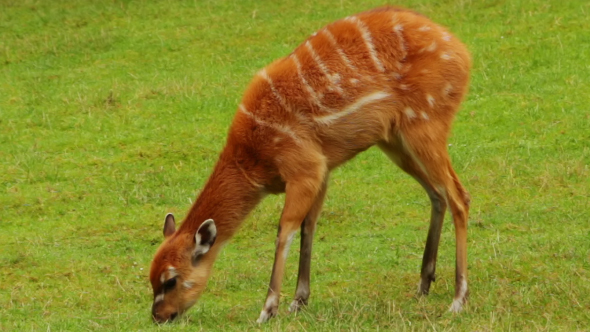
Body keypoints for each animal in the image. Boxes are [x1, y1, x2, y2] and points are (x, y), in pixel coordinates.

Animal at [150, 6, 474, 322]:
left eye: (171, 280)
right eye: (151, 278)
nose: (158, 316)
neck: (252, 158)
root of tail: (462, 52)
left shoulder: (305, 168)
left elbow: (285, 231)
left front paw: (268, 310)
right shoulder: (323, 170)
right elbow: (309, 226)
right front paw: (298, 302)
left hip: (426, 125)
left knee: (459, 196)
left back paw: (458, 299)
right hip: (395, 141)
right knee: (437, 194)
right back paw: (423, 285)